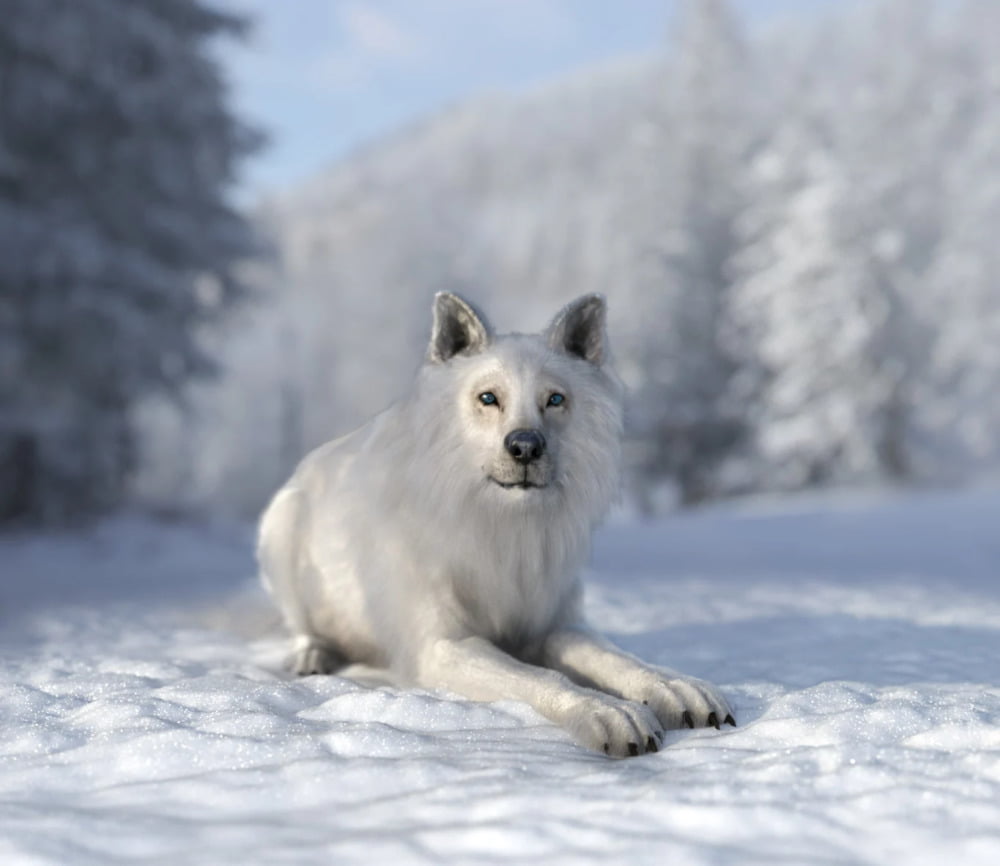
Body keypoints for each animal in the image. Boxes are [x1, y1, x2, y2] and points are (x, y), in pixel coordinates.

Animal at [258, 293, 734, 757]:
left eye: (554, 399)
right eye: (488, 398)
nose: (525, 446)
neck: (503, 528)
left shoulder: (556, 625)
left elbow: (619, 659)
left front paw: (675, 688)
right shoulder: (444, 646)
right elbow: (544, 678)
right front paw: (609, 713)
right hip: (280, 534)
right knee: (303, 628)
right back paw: (312, 657)